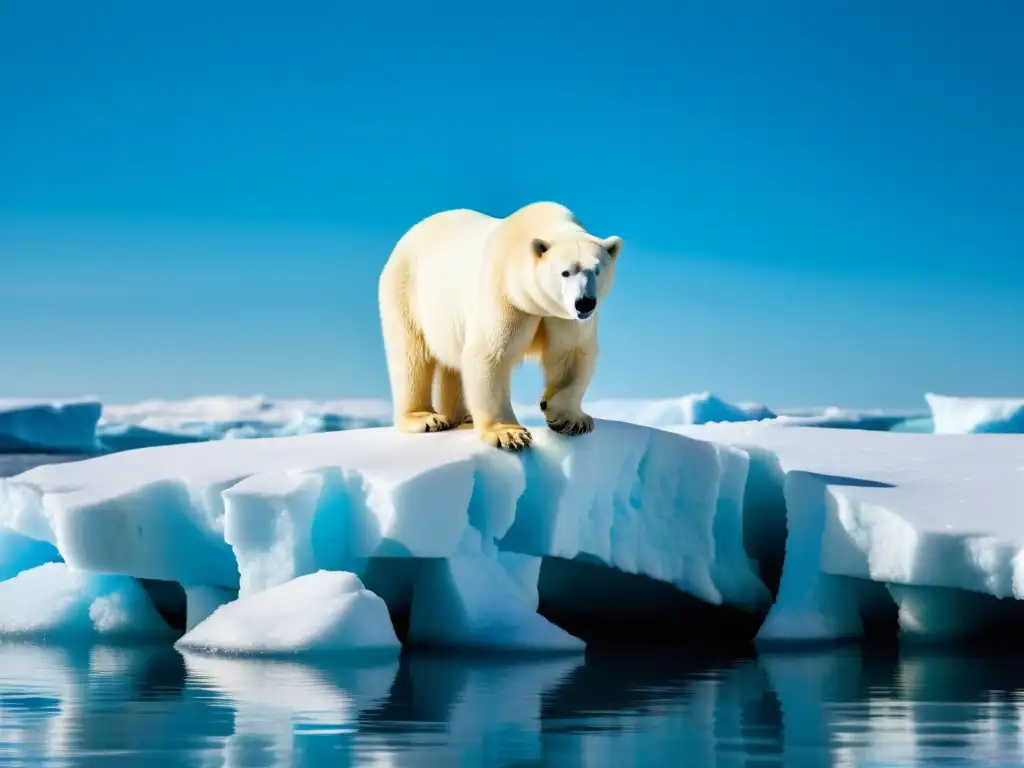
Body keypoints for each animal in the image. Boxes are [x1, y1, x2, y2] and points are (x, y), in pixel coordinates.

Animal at [374, 202, 614, 450]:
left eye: (597, 270)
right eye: (565, 272)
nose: (585, 302)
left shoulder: (564, 316)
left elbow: (570, 353)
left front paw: (571, 420)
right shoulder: (504, 294)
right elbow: (491, 353)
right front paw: (509, 434)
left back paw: (463, 418)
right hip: (406, 293)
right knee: (411, 356)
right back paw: (425, 418)